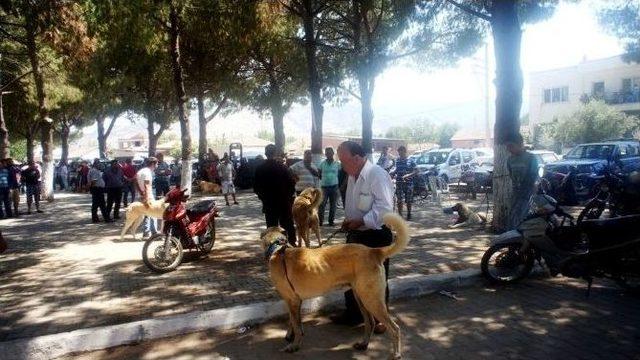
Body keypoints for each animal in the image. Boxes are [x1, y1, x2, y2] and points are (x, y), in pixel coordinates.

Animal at [260, 212, 410, 358]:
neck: (277, 249)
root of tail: (373, 251)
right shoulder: (294, 301)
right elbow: (293, 321)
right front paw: (290, 336)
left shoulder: (292, 300)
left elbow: (296, 326)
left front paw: (294, 345)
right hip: (361, 298)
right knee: (370, 323)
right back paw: (364, 344)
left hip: (371, 300)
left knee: (394, 328)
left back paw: (396, 354)